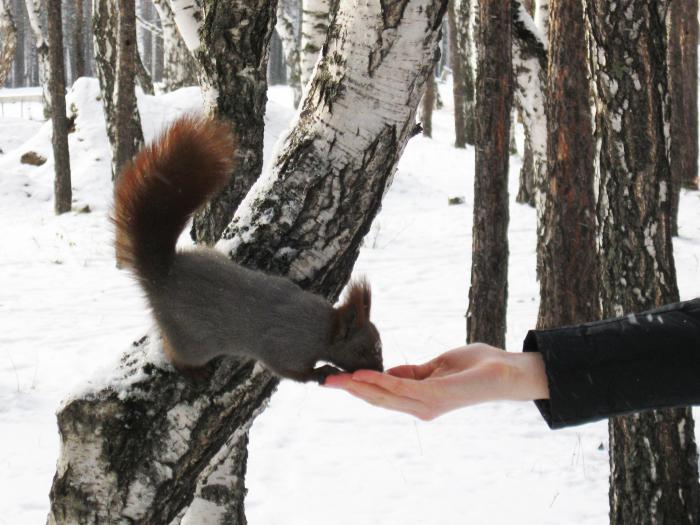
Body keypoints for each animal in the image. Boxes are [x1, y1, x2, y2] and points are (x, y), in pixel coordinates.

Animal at [113, 116, 383, 384]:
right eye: (363, 350)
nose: (380, 369)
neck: (324, 329)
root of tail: (161, 275)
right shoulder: (285, 349)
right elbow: (292, 372)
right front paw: (322, 371)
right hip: (191, 339)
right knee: (177, 355)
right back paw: (193, 371)